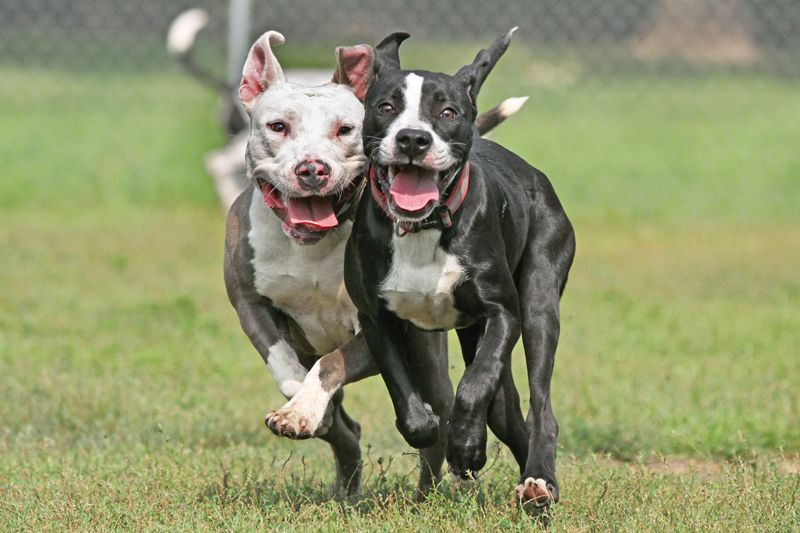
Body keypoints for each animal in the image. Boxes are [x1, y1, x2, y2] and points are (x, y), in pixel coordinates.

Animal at [344, 31, 576, 504]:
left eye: (447, 111)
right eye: (386, 106)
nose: (413, 139)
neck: (423, 227)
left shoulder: (503, 313)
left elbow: (473, 385)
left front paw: (467, 448)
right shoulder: (378, 319)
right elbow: (406, 396)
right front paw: (435, 432)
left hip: (540, 301)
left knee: (539, 404)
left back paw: (539, 479)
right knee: (508, 413)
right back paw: (527, 478)